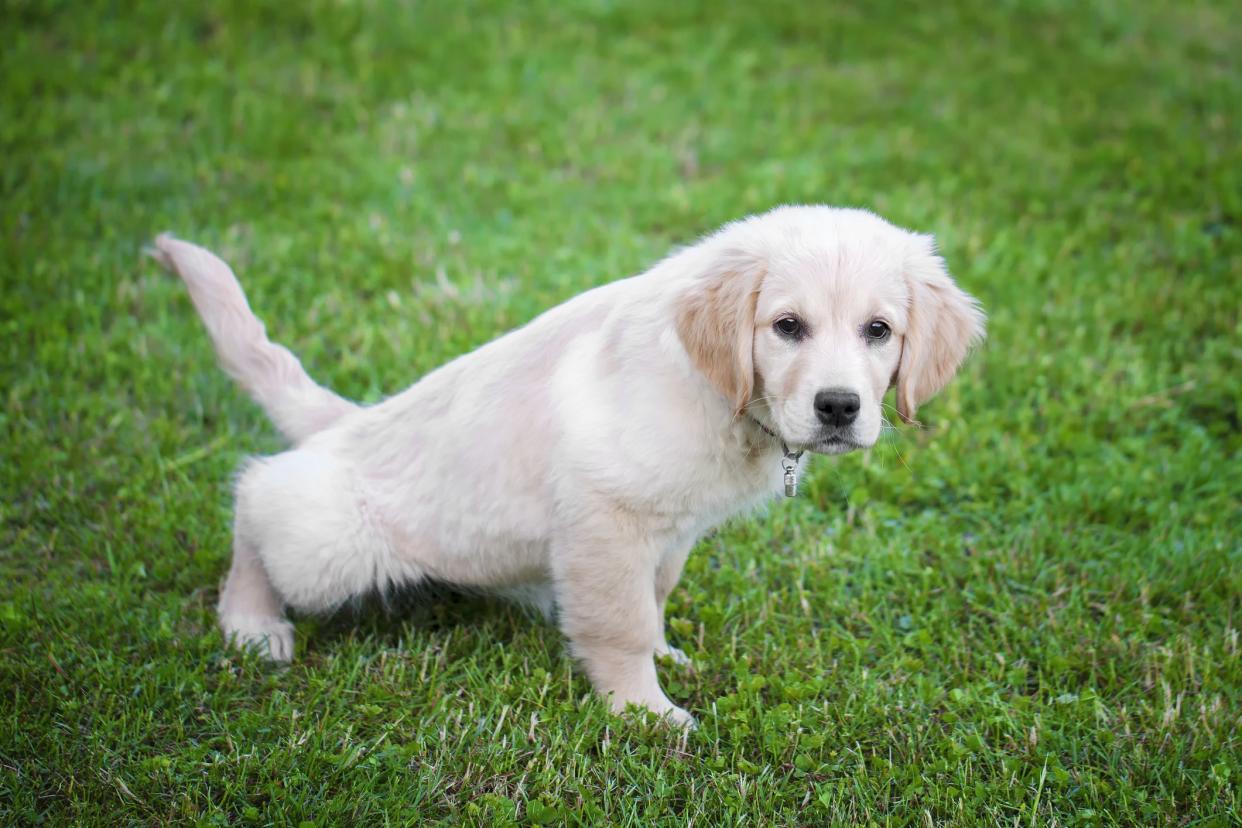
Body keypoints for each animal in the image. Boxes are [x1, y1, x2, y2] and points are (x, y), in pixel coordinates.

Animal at [155, 206, 983, 724]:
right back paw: (252, 622)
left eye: (878, 331)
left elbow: (653, 598)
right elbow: (619, 621)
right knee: (257, 496)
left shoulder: (670, 529)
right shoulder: (604, 515)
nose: (840, 407)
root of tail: (345, 423)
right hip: (333, 542)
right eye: (787, 326)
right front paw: (644, 712)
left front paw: (665, 655)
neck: (719, 392)